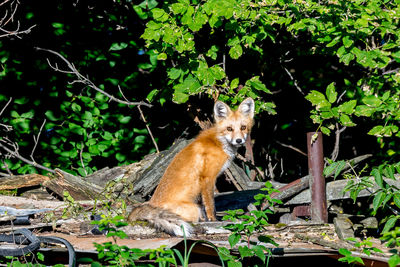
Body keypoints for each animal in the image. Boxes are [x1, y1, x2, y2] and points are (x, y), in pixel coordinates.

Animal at [128, 97, 253, 238]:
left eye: (243, 127)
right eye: (229, 129)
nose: (239, 141)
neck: (219, 142)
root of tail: (152, 204)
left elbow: (204, 206)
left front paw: (208, 220)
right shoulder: (208, 178)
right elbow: (210, 205)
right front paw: (214, 220)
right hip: (193, 210)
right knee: (189, 220)